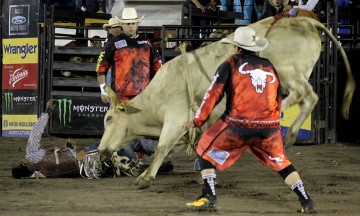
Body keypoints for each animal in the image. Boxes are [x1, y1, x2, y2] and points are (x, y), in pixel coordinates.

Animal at [97, 16, 356, 188]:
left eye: (108, 118)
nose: (100, 150)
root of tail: (303, 20)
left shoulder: (176, 118)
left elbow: (162, 146)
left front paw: (146, 177)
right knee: (310, 98)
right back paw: (289, 135)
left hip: (286, 72)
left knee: (303, 94)